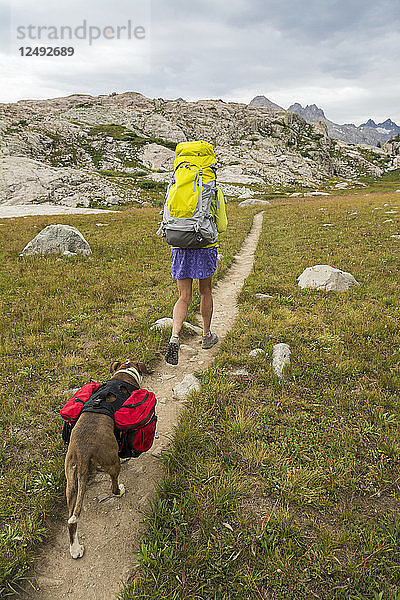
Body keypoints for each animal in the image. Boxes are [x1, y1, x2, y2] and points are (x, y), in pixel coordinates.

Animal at [65, 356, 146, 556]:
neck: (124, 373)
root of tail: (83, 453)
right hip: (111, 462)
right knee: (114, 486)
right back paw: (120, 490)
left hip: (71, 481)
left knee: (70, 519)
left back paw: (75, 549)